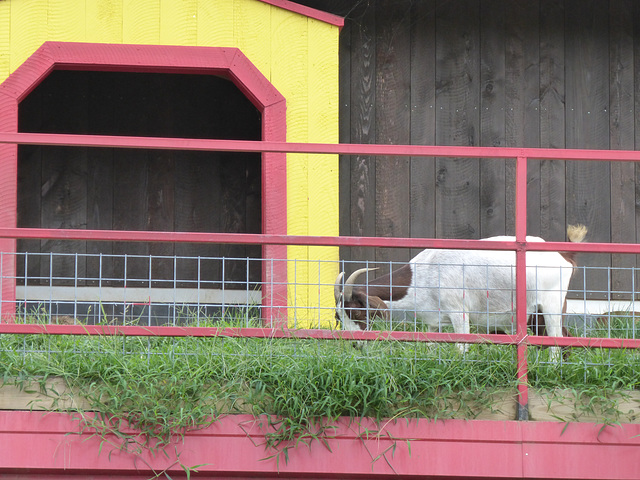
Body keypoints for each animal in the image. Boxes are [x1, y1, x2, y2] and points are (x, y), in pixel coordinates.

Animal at [332, 224, 588, 352]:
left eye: (357, 312)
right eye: (338, 317)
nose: (355, 344)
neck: (423, 273)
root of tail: (563, 255)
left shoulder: (459, 312)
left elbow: (461, 347)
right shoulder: (433, 321)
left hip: (552, 304)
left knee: (556, 339)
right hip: (535, 313)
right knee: (564, 337)